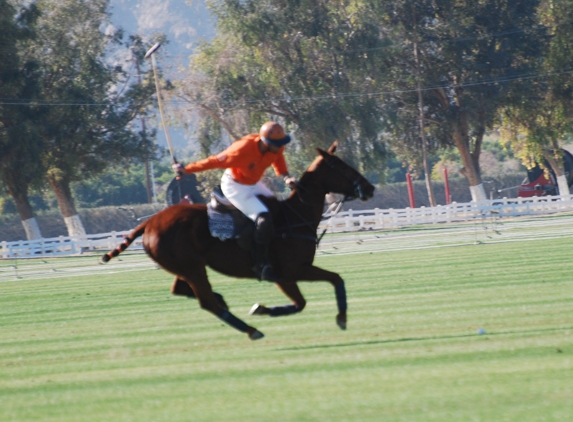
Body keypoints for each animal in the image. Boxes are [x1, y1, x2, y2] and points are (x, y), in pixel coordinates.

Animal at [103, 142, 376, 340]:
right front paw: (341, 318)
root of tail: (148, 223)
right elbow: (322, 288)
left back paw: (225, 302)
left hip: (184, 267)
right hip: (192, 267)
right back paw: (250, 329)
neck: (296, 216)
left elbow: (317, 292)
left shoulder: (290, 274)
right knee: (206, 301)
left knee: (182, 290)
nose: (369, 188)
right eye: (341, 166)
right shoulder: (290, 271)